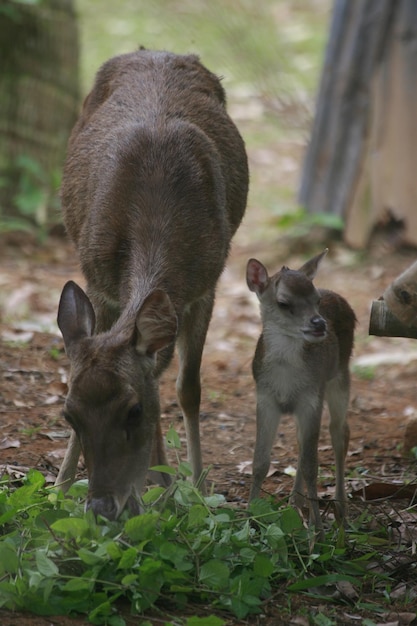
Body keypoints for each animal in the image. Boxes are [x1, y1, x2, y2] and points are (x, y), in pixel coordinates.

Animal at [54, 47, 247, 516]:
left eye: (134, 411)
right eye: (69, 415)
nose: (102, 506)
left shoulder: (206, 284)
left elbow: (188, 387)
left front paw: (191, 486)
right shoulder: (98, 279)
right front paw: (61, 486)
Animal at [245, 249, 356, 532]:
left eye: (316, 300)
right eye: (283, 302)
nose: (319, 323)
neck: (286, 379)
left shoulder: (311, 398)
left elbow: (311, 466)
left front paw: (317, 530)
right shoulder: (265, 398)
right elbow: (260, 462)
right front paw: (250, 518)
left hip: (340, 375)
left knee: (340, 432)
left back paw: (340, 506)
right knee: (300, 440)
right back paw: (296, 500)